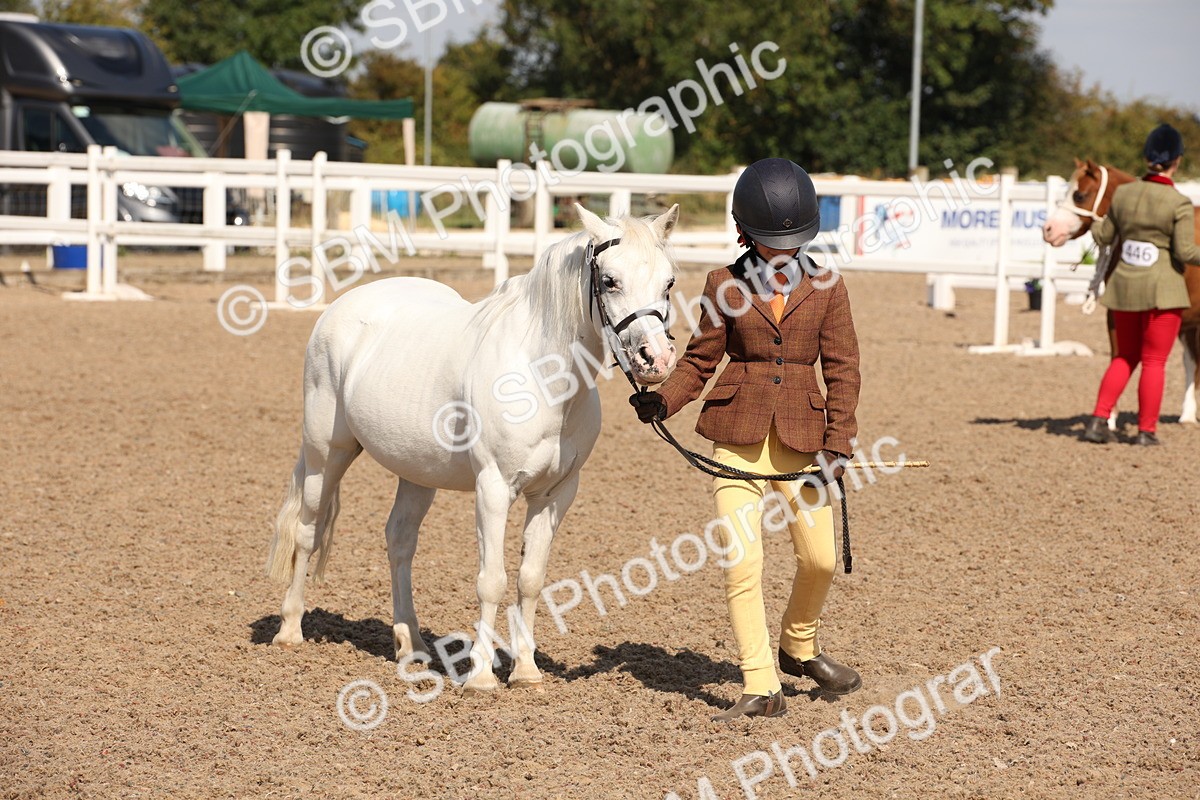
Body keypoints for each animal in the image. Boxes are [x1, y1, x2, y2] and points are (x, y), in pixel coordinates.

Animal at [265, 203, 680, 693]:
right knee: (307, 532)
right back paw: (290, 630)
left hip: (416, 473)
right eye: (611, 280)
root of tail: (340, 307)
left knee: (399, 541)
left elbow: (529, 579)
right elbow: (492, 580)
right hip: (325, 454)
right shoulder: (493, 489)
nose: (655, 359)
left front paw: (525, 671)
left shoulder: (555, 495)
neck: (541, 377)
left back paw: (413, 647)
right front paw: (481, 675)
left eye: (669, 282)